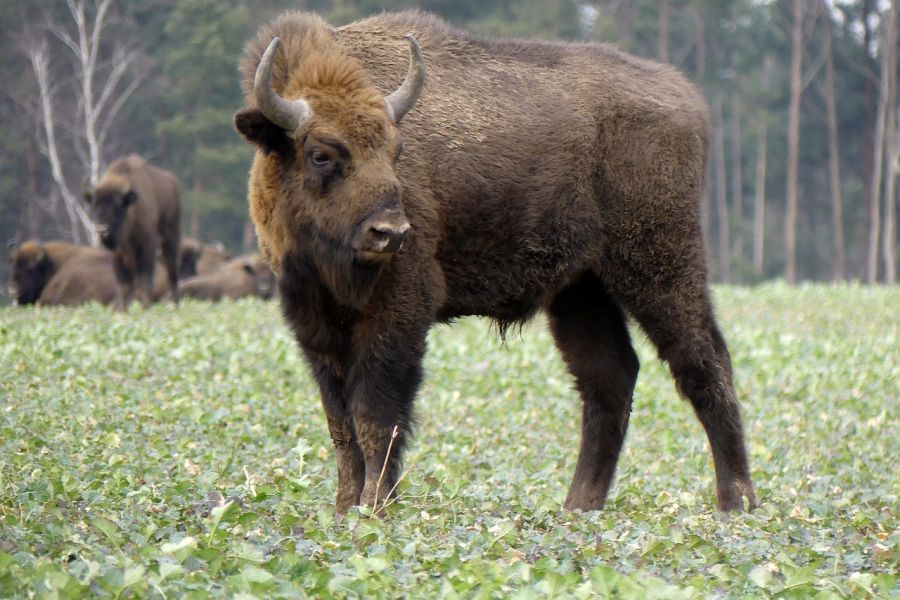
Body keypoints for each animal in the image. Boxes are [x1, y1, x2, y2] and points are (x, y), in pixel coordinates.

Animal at [86, 154, 183, 310]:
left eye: (117, 205)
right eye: (95, 205)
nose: (102, 229)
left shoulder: (147, 246)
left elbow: (145, 279)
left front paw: (146, 308)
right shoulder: (118, 254)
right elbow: (123, 284)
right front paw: (121, 310)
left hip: (171, 240)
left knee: (172, 272)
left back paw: (176, 305)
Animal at [234, 11, 760, 512]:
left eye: (396, 150)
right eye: (321, 154)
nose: (391, 232)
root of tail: (686, 97)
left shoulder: (398, 315)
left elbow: (374, 419)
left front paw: (374, 509)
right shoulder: (316, 326)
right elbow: (340, 424)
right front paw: (344, 511)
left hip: (660, 265)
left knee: (704, 363)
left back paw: (736, 503)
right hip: (581, 291)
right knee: (610, 376)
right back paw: (578, 507)